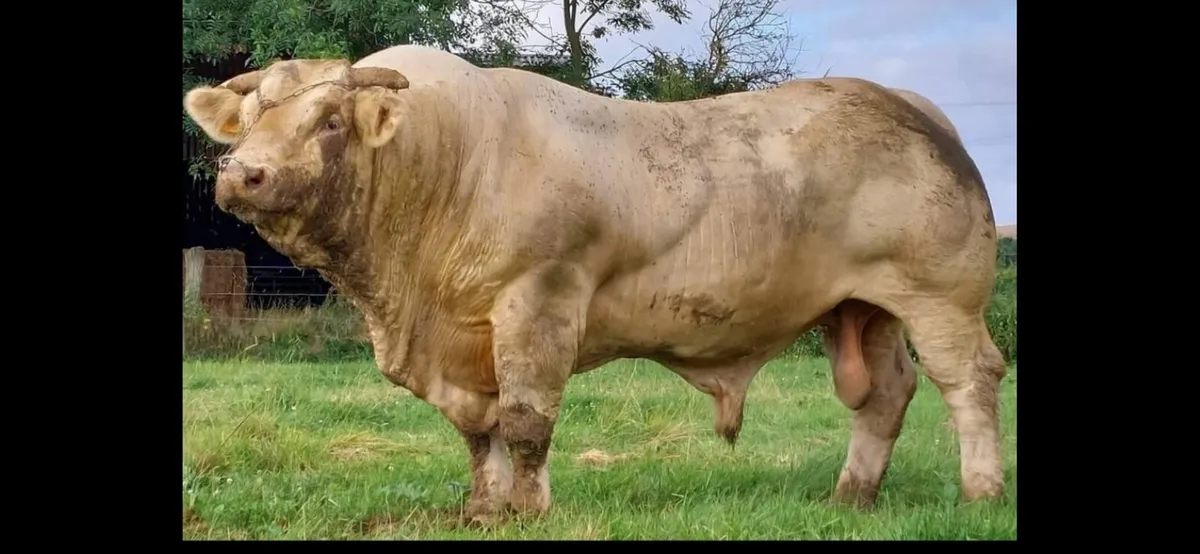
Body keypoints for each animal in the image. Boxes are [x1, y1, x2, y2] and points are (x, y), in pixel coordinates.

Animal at [182, 44, 1007, 523]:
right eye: (250, 116)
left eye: (329, 120)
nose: (243, 173)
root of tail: (912, 105)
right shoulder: (462, 341)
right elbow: (476, 428)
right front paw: (482, 507)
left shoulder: (539, 300)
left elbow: (525, 420)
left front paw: (528, 508)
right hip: (862, 308)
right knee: (884, 394)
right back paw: (851, 496)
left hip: (940, 299)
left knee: (968, 381)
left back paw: (982, 492)